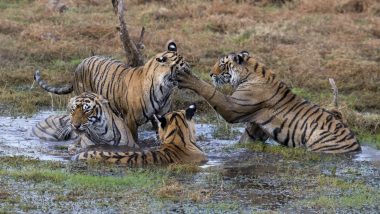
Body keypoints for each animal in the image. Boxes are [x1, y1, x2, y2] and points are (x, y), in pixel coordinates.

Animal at [34, 41, 190, 141]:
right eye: (182, 66)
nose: (191, 73)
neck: (164, 90)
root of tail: (79, 64)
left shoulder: (161, 116)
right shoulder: (130, 120)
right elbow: (134, 139)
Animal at [175, 51, 360, 153]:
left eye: (222, 64)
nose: (211, 74)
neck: (249, 74)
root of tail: (357, 147)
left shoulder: (233, 107)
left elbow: (210, 90)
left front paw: (187, 77)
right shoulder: (256, 126)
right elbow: (246, 139)